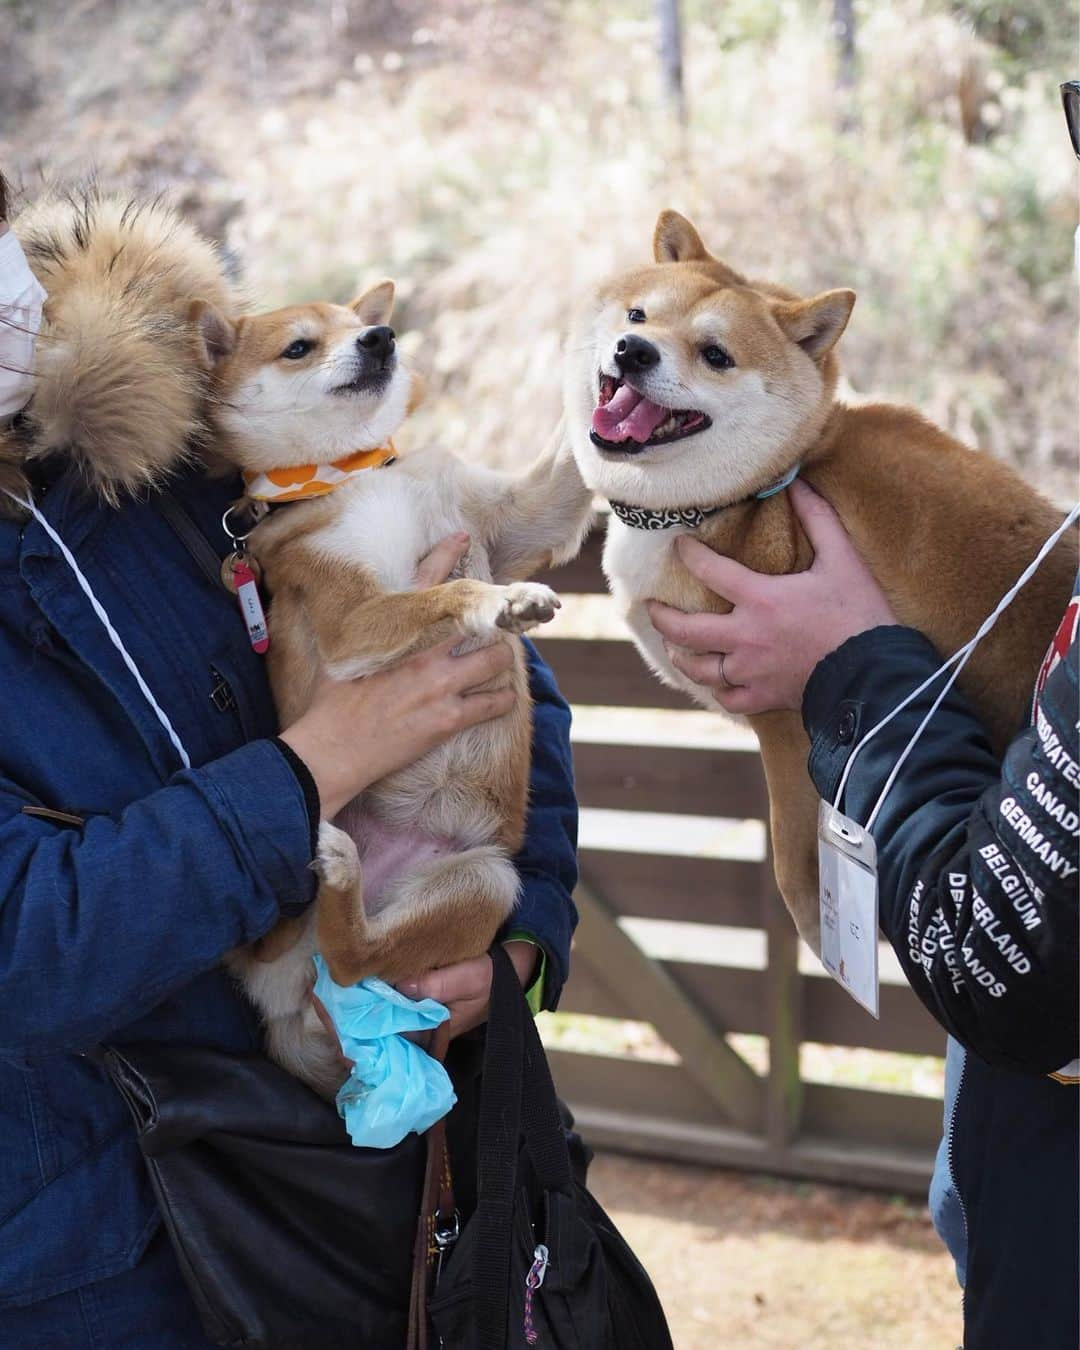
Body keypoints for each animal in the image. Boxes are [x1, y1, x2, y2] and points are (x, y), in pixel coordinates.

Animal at [198, 279, 594, 1090]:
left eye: (362, 324)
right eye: (300, 346)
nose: (379, 338)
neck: (352, 474)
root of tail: (286, 1000)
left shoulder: (521, 518)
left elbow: (568, 455)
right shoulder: (353, 619)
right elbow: (440, 595)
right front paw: (500, 601)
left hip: (481, 878)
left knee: (360, 958)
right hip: (479, 887)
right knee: (355, 962)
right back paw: (343, 881)